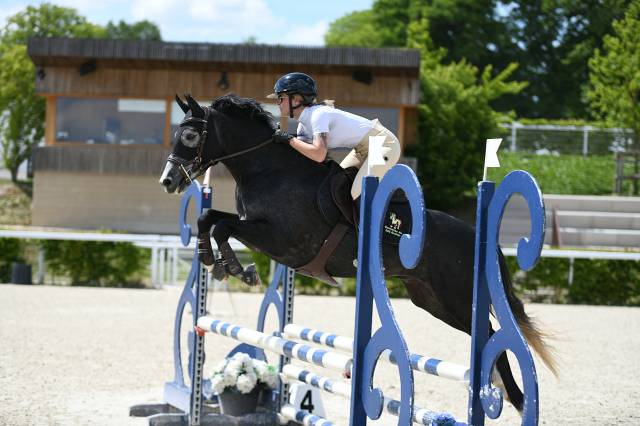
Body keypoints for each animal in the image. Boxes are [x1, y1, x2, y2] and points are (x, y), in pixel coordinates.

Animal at [159, 93, 557, 413]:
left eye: (190, 135)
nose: (168, 181)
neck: (267, 170)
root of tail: (479, 238)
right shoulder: (258, 230)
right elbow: (209, 218)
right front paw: (214, 260)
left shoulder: (283, 241)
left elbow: (222, 226)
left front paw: (235, 267)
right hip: (432, 300)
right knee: (484, 334)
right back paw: (500, 390)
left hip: (457, 296)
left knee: (490, 333)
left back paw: (515, 398)